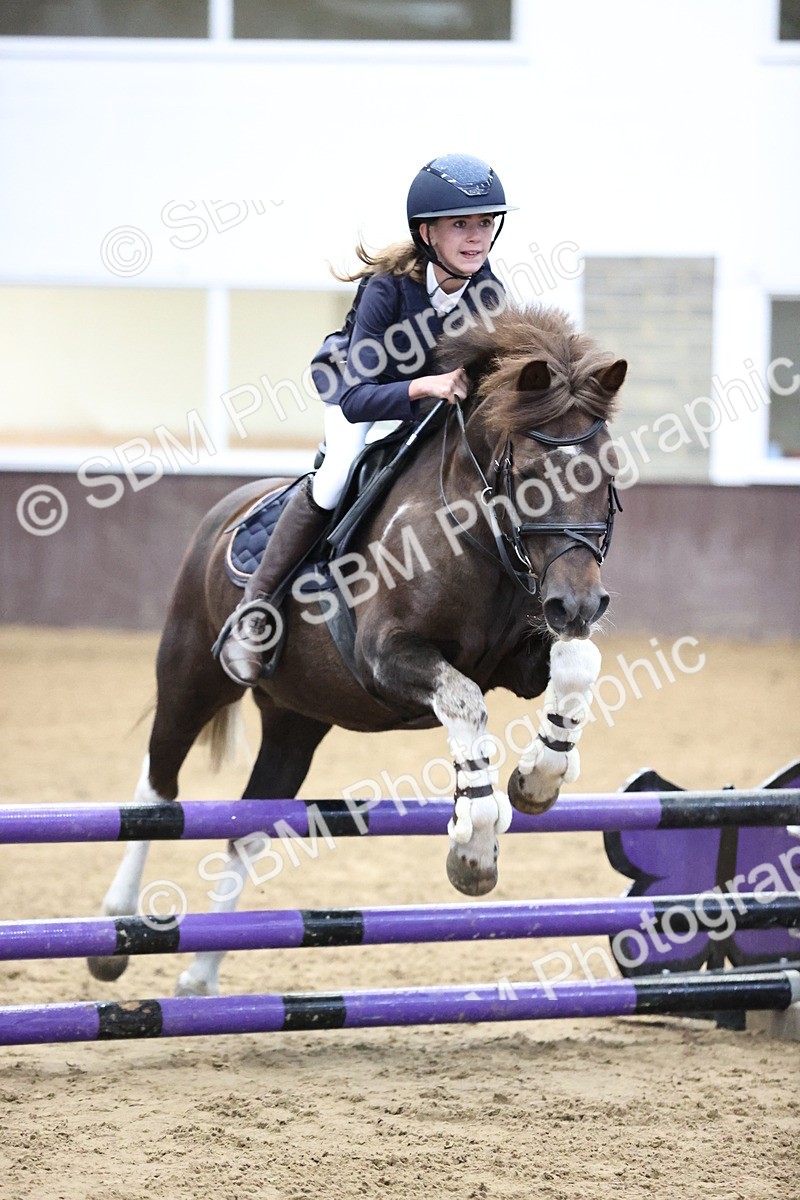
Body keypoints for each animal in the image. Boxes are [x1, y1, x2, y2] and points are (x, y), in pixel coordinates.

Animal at [88, 303, 627, 997]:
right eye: (530, 476)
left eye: (607, 474)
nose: (580, 605)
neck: (473, 529)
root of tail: (227, 507)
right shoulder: (386, 657)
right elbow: (465, 701)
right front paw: (475, 846)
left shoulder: (528, 656)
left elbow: (577, 667)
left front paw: (539, 779)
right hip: (191, 675)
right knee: (157, 787)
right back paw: (116, 929)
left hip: (296, 717)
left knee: (248, 828)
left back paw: (201, 979)